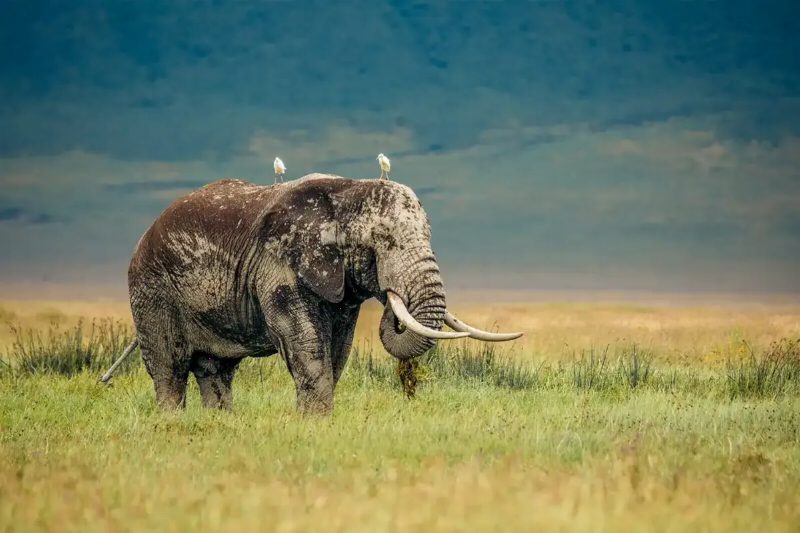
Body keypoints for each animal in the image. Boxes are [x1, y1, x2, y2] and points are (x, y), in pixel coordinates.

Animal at [107, 174, 521, 414]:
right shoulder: (278, 265)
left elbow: (338, 347)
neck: (345, 192)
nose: (392, 299)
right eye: (382, 242)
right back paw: (173, 422)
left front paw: (321, 422)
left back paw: (220, 423)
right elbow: (306, 342)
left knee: (216, 370)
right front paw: (314, 421)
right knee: (169, 367)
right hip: (150, 288)